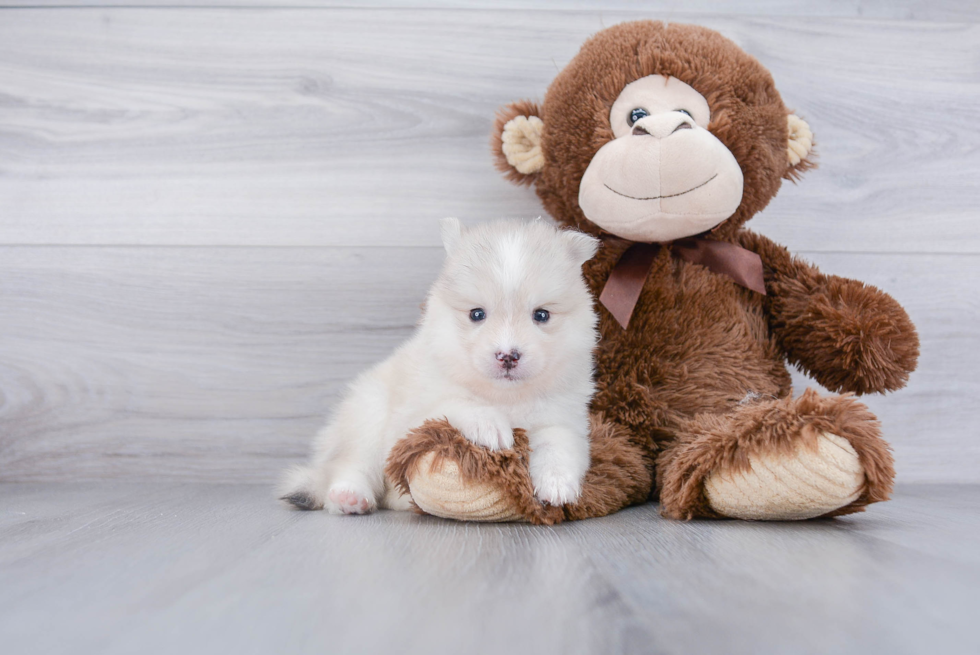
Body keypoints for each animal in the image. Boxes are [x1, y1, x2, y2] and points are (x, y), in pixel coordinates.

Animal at [280, 220, 600, 516]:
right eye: (477, 314)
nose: (508, 355)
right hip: (367, 416)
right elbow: (457, 404)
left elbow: (558, 447)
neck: (504, 397)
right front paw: (489, 425)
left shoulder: (564, 421)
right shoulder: (414, 419)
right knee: (351, 465)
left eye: (541, 315)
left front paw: (557, 486)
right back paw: (349, 497)